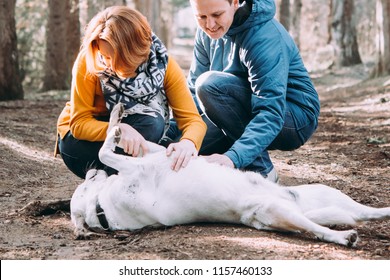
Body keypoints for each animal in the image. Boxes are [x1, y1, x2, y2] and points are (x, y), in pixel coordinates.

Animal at [71, 104, 390, 246]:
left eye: (89, 179)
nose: (91, 171)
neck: (102, 207)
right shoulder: (134, 167)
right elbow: (105, 152)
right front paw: (115, 130)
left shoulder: (156, 152)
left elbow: (155, 145)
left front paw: (118, 122)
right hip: (279, 211)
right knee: (319, 229)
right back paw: (344, 236)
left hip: (325, 192)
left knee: (365, 212)